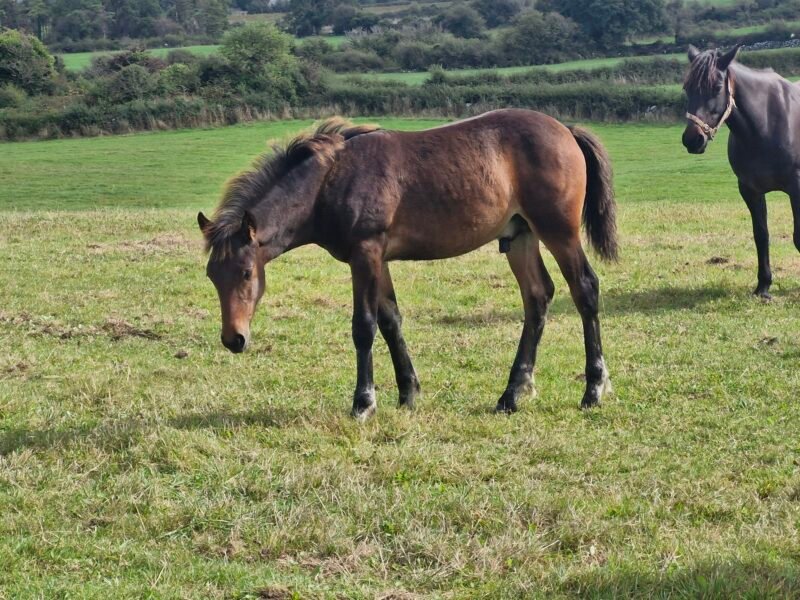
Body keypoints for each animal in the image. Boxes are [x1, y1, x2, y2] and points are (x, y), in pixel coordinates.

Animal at [197, 109, 618, 421]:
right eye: (212, 276)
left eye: (247, 273)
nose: (234, 339)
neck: (329, 181)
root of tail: (566, 130)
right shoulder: (377, 259)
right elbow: (390, 321)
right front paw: (408, 393)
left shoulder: (365, 253)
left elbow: (364, 327)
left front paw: (364, 402)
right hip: (519, 236)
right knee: (537, 298)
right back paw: (511, 394)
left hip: (558, 230)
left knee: (584, 288)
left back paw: (593, 389)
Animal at [682, 44, 800, 298]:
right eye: (686, 87)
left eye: (716, 87)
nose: (692, 140)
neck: (767, 124)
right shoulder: (750, 190)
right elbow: (761, 235)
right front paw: (763, 286)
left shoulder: (796, 187)